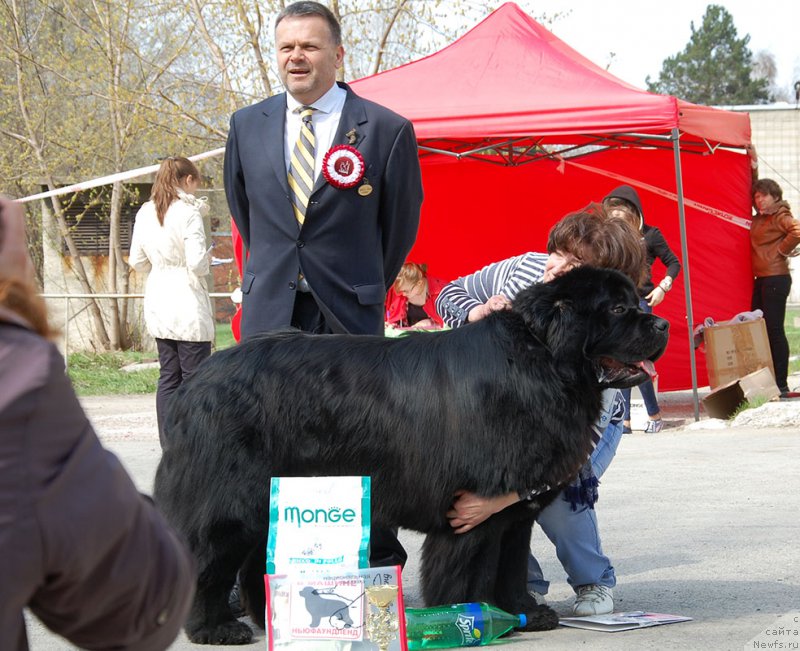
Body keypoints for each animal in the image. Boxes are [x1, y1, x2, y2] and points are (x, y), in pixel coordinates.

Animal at [153, 268, 664, 644]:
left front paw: (523, 612)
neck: (540, 364)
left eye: (637, 301)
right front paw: (465, 616)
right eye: (618, 308)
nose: (661, 323)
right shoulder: (469, 508)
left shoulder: (514, 510)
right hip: (229, 500)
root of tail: (198, 382)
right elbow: (468, 570)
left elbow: (513, 564)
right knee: (206, 560)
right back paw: (215, 628)